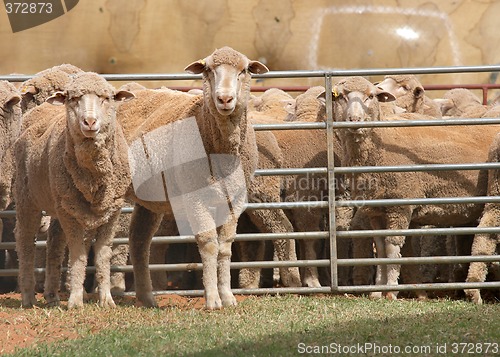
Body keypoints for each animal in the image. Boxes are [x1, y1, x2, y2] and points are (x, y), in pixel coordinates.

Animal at [13, 71, 135, 308]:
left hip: (59, 203)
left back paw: (52, 296)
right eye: (74, 99)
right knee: (25, 242)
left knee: (54, 244)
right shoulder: (71, 215)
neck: (94, 176)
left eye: (106, 98)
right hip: (28, 199)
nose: (89, 122)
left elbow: (102, 255)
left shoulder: (112, 211)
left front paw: (106, 299)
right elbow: (78, 255)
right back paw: (28, 296)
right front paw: (76, 300)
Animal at [330, 76, 498, 298]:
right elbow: (380, 249)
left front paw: (391, 291)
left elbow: (391, 250)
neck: (379, 143)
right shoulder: (376, 210)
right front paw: (377, 291)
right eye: (340, 96)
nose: (355, 120)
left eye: (371, 96)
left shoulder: (400, 206)